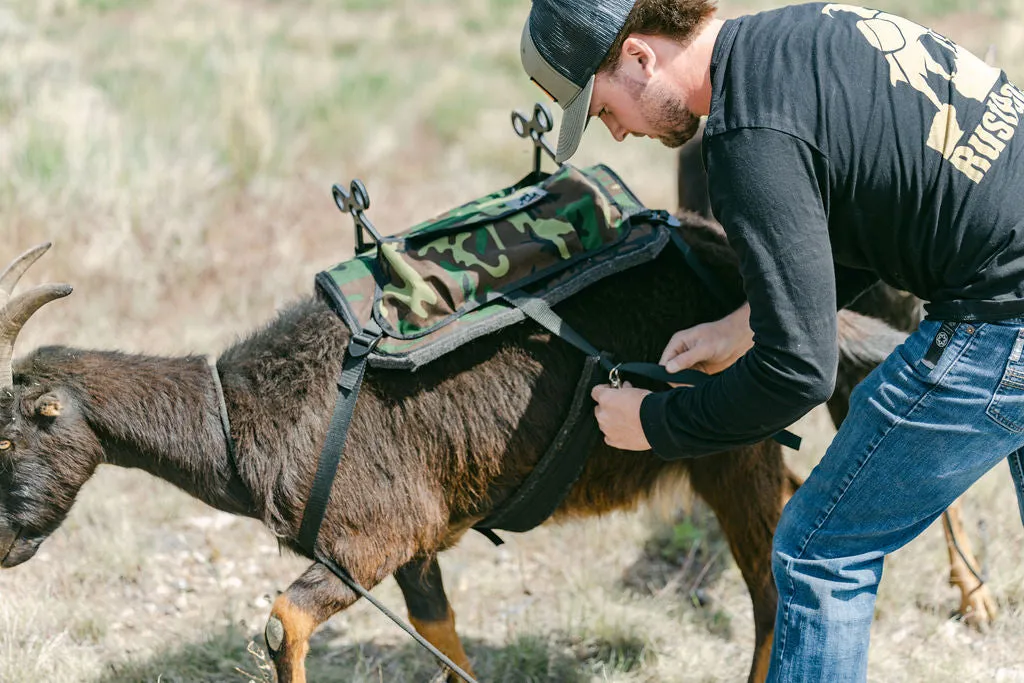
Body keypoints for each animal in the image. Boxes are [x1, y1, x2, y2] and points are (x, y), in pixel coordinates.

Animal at [2, 225, 905, 683]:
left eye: (9, 433)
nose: (7, 548)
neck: (244, 415)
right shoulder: (417, 542)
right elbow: (441, 631)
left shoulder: (367, 541)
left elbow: (279, 622)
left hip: (731, 452)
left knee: (772, 592)